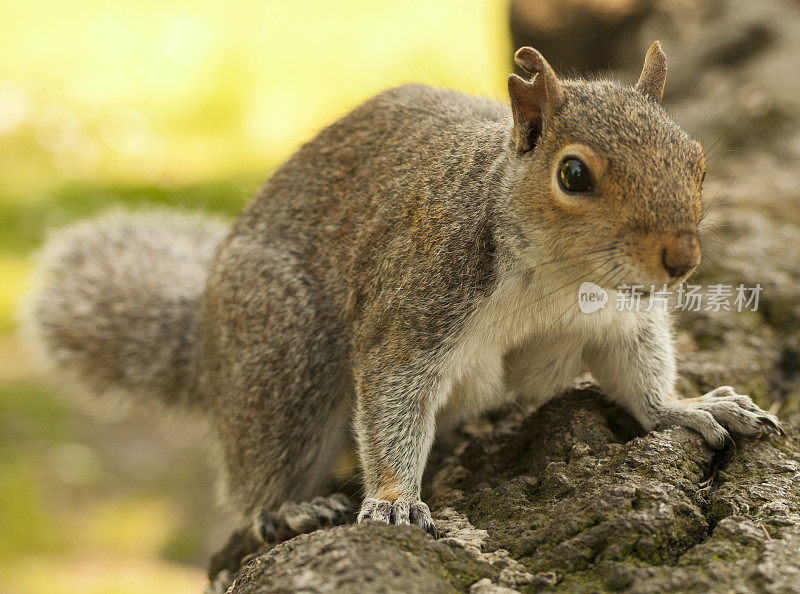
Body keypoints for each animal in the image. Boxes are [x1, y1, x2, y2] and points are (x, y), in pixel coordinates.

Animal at [23, 42, 780, 536]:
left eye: (697, 161)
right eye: (573, 175)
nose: (681, 259)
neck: (560, 278)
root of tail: (206, 341)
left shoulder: (618, 319)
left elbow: (640, 376)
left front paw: (689, 407)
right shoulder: (415, 302)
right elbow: (393, 396)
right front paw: (392, 497)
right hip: (281, 350)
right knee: (258, 467)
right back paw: (287, 506)